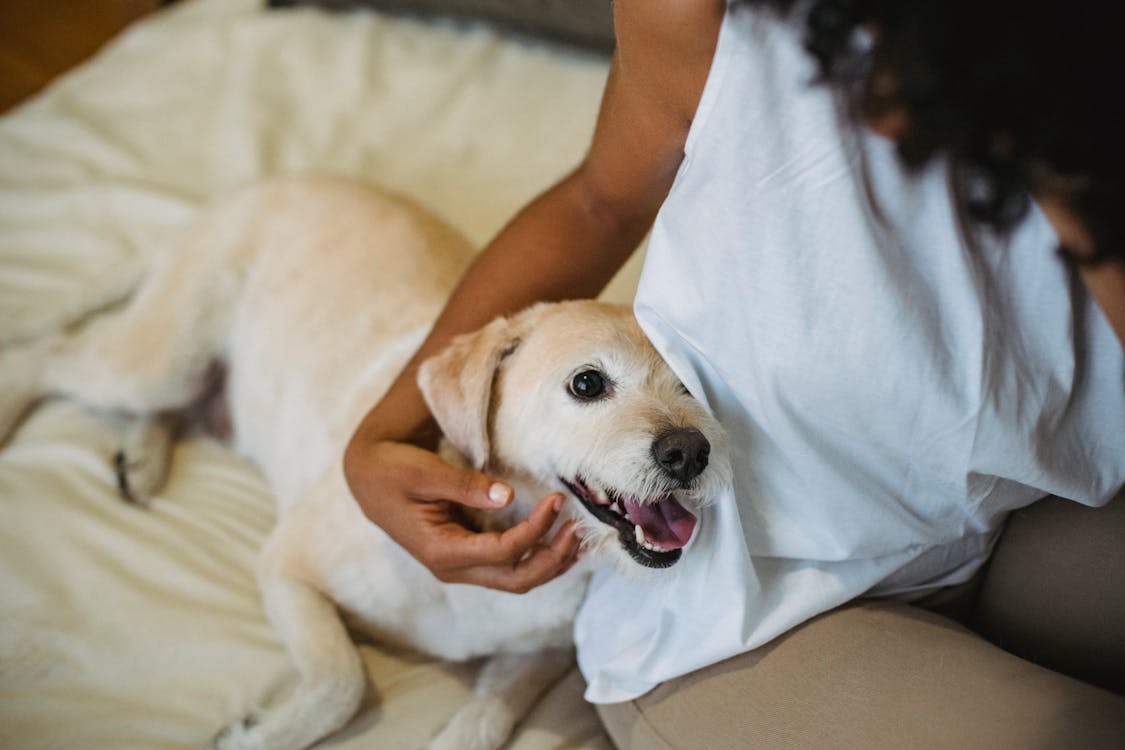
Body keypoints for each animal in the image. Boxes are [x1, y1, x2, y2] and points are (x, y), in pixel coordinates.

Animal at [0, 176, 729, 750]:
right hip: (160, 359)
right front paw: (260, 735)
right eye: (586, 383)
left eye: (691, 385)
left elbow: (485, 720)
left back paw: (143, 456)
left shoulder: (540, 656)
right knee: (51, 356)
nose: (690, 452)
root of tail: (251, 187)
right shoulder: (285, 565)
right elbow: (341, 683)